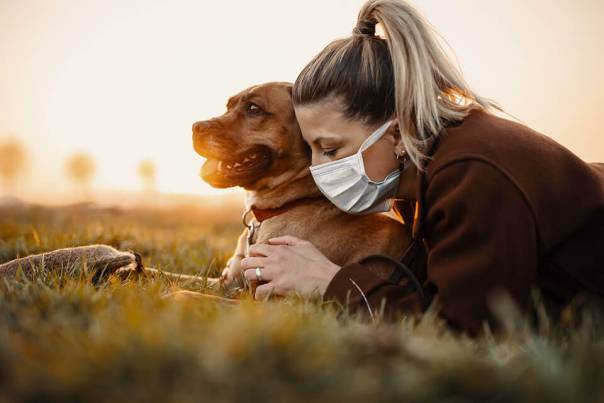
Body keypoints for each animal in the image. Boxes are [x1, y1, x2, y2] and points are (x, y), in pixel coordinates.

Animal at [191, 82, 412, 296]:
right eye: (228, 106)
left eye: (253, 108)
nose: (195, 127)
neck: (290, 203)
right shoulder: (227, 283)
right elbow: (187, 280)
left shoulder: (266, 298)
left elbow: (191, 295)